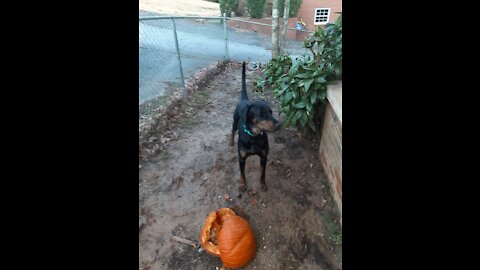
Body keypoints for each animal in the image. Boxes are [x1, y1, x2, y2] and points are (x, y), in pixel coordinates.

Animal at [230, 61, 282, 192]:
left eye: (271, 112)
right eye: (262, 114)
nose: (279, 124)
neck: (253, 136)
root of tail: (244, 99)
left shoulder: (264, 157)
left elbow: (262, 173)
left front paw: (262, 184)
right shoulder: (241, 158)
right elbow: (242, 173)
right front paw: (242, 184)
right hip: (235, 120)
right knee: (232, 130)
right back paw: (230, 142)